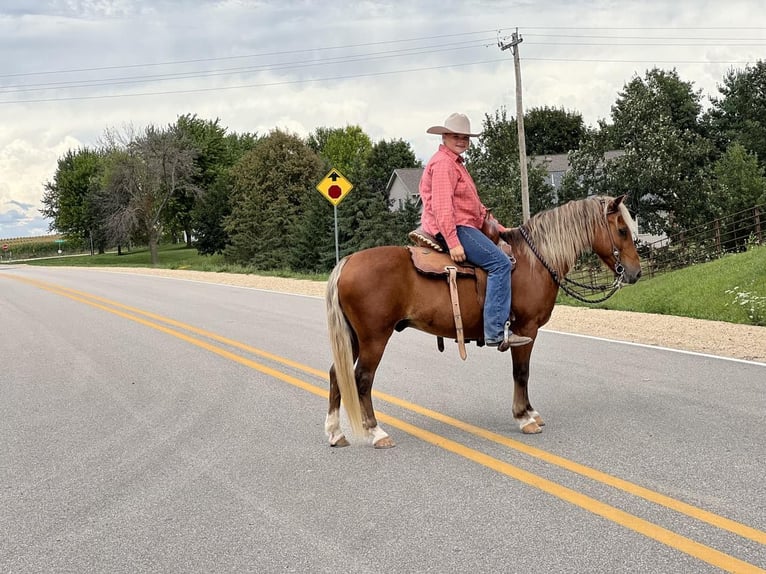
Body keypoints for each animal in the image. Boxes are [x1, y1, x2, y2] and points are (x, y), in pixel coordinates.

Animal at [324, 196, 640, 448]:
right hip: (374, 338)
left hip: (354, 338)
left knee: (337, 374)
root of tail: (347, 262)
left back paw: (336, 433)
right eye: (622, 230)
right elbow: (521, 373)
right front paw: (524, 417)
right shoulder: (525, 329)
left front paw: (530, 413)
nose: (635, 273)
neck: (535, 261)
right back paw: (376, 433)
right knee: (362, 379)